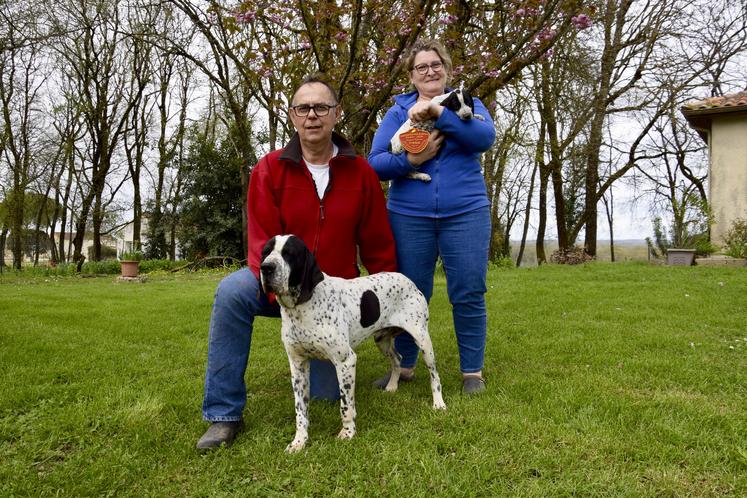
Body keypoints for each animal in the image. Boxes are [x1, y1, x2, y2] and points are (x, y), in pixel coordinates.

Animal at [258, 235, 444, 454]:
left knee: (434, 375)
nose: (266, 268)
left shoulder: (345, 361)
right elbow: (300, 411)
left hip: (422, 340)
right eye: (265, 252)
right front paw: (299, 441)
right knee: (397, 359)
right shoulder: (298, 366)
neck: (302, 307)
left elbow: (346, 405)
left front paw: (347, 433)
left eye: (289, 254)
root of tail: (408, 280)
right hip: (382, 341)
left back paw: (438, 403)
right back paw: (392, 386)